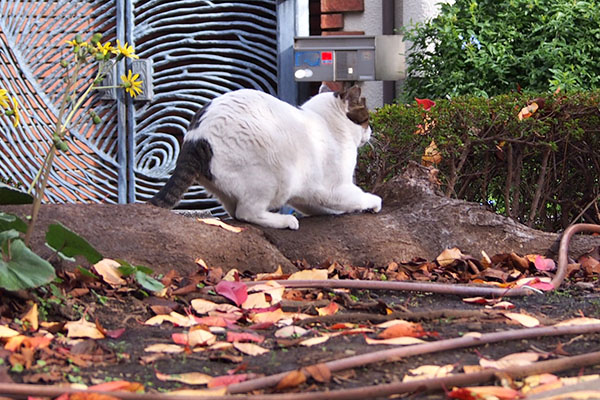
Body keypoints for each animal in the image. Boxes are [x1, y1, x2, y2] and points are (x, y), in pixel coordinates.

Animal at [152, 85, 382, 228]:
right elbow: (360, 197)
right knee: (246, 213)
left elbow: (315, 205)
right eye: (366, 119)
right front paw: (373, 203)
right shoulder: (335, 188)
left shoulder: (306, 191)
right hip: (273, 177)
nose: (371, 131)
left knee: (235, 212)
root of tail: (195, 138)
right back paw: (285, 222)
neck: (327, 124)